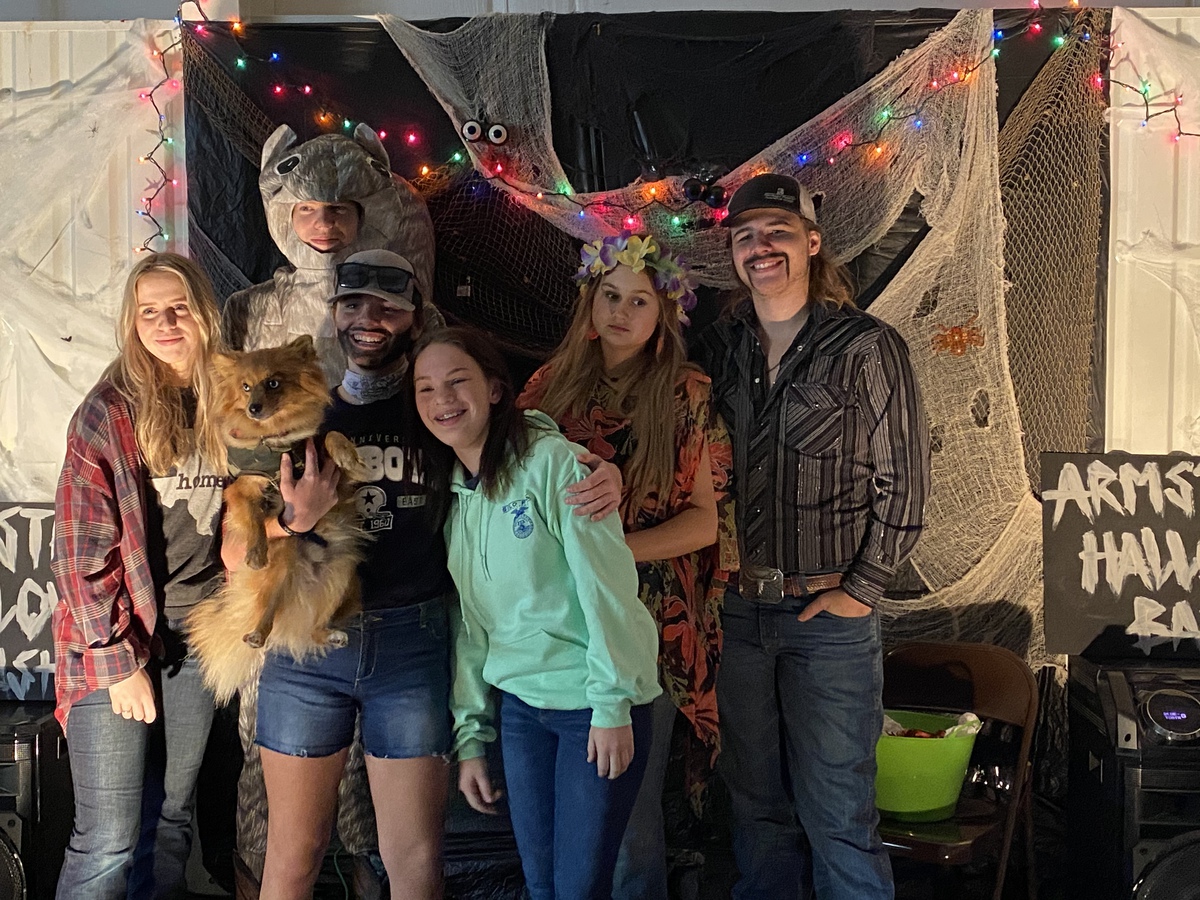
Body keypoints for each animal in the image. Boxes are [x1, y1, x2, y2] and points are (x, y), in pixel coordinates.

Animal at [186, 335, 370, 704]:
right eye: (245, 387)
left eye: (273, 383)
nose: (254, 407)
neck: (277, 441)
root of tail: (306, 581)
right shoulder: (242, 489)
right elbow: (254, 519)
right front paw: (255, 551)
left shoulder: (326, 466)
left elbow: (331, 437)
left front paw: (350, 456)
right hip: (282, 564)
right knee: (267, 611)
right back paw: (258, 632)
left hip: (343, 574)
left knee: (315, 628)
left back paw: (328, 633)